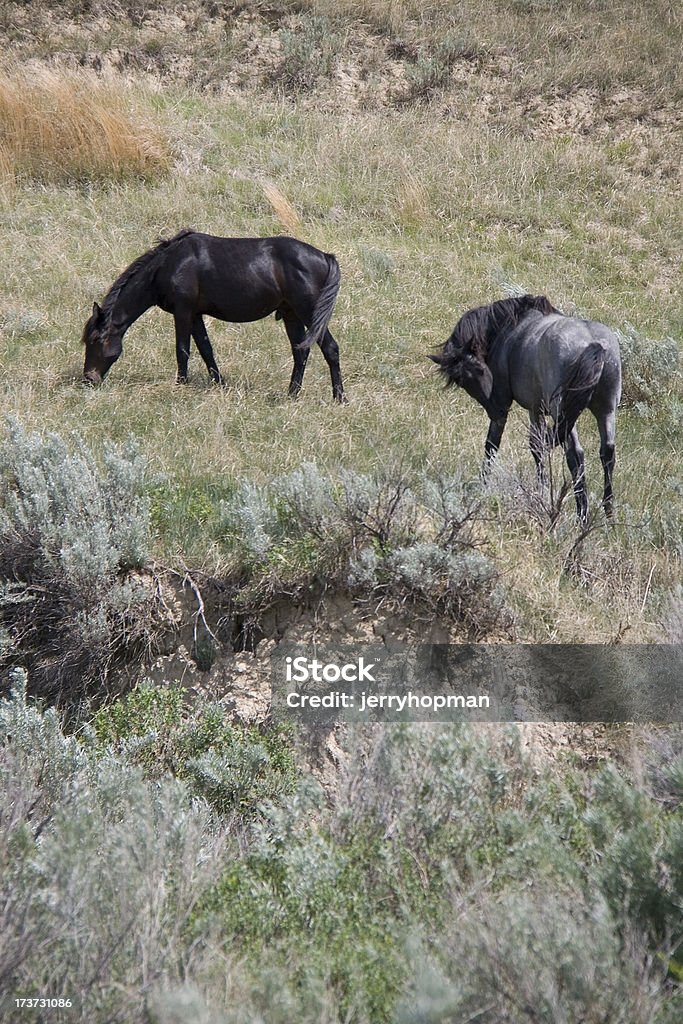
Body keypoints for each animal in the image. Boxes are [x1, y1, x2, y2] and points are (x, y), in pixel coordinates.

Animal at [81, 230, 344, 401]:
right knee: (301, 352)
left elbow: (182, 350)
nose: (89, 379)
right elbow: (206, 349)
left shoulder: (183, 311)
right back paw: (292, 395)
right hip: (292, 314)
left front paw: (181, 385)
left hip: (309, 312)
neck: (168, 265)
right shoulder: (196, 315)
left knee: (330, 348)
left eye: (94, 340)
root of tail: (325, 256)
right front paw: (219, 384)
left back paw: (339, 397)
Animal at [432, 294, 626, 520]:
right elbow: (536, 445)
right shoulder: (535, 408)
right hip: (606, 410)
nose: (496, 409)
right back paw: (608, 513)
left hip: (563, 413)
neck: (511, 329)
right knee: (607, 453)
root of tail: (594, 344)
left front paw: (483, 485)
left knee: (575, 455)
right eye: (462, 381)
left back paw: (583, 515)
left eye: (479, 370)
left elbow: (493, 445)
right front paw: (541, 490)